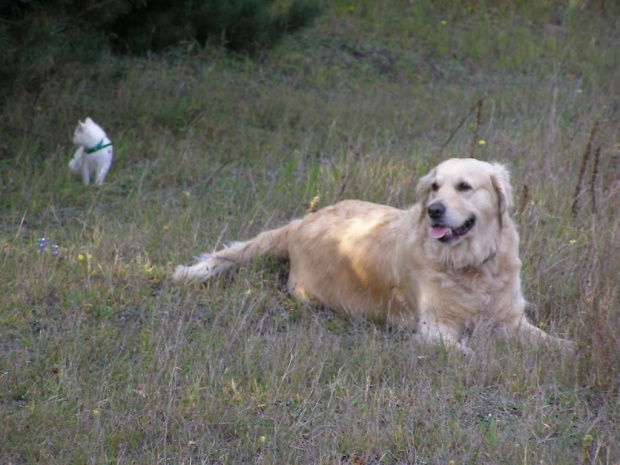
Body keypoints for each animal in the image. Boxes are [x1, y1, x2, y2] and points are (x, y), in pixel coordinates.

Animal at [173, 158, 572, 354]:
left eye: (464, 187)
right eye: (434, 187)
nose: (434, 210)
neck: (471, 265)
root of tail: (302, 223)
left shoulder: (512, 320)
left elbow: (554, 344)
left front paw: (568, 350)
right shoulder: (434, 328)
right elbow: (465, 351)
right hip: (306, 293)